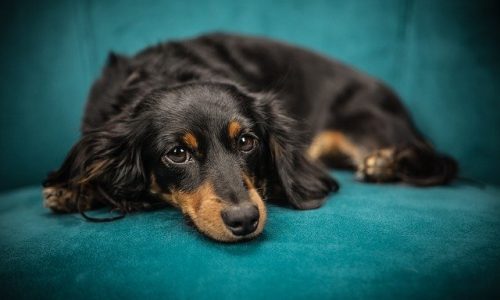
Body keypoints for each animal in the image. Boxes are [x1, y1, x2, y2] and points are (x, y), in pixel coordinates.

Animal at [43, 32, 458, 243]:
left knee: (439, 162)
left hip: (364, 123)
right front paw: (72, 189)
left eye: (246, 142)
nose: (244, 220)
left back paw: (386, 162)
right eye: (177, 153)